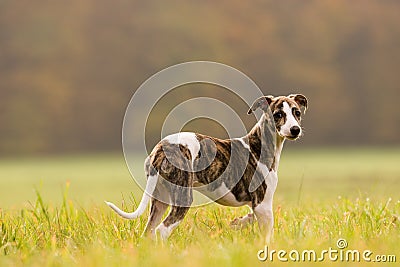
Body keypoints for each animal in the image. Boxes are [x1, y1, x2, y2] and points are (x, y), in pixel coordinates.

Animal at [104, 93, 308, 243]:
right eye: (278, 114)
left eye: (297, 112)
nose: (295, 130)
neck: (259, 145)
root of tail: (161, 148)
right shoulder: (263, 204)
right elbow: (267, 235)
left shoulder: (257, 205)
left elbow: (249, 217)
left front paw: (238, 223)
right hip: (183, 197)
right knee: (162, 230)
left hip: (159, 199)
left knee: (149, 232)